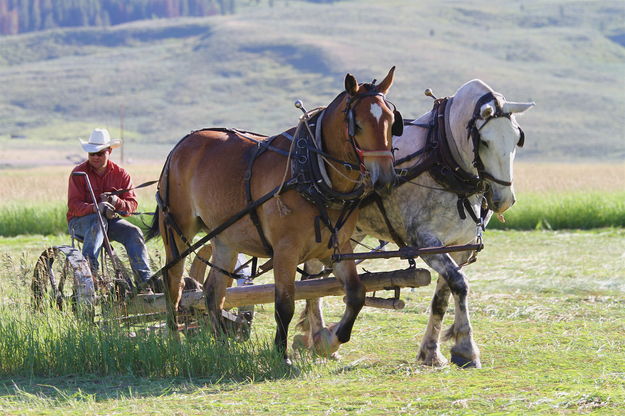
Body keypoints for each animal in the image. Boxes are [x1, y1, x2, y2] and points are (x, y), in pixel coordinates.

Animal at [147, 68, 400, 360]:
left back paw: (221, 345)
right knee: (173, 285)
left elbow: (356, 294)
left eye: (392, 122)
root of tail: (181, 145)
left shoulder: (336, 247)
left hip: (225, 238)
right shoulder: (285, 251)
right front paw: (282, 354)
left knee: (213, 292)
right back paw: (175, 340)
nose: (386, 179)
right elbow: (285, 304)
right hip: (177, 230)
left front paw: (332, 339)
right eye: (357, 125)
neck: (311, 172)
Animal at [298, 80, 532, 368]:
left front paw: (432, 352)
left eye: (517, 138)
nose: (504, 199)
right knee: (311, 278)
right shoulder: (426, 242)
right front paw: (466, 348)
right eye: (485, 141)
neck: (442, 155)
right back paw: (320, 335)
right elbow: (460, 283)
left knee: (316, 276)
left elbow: (444, 295)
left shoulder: (459, 246)